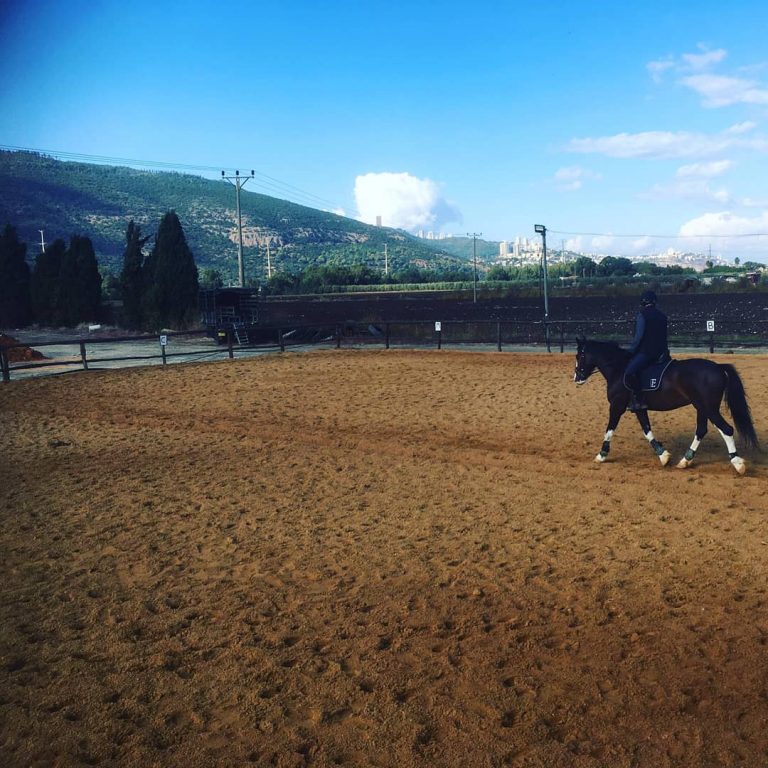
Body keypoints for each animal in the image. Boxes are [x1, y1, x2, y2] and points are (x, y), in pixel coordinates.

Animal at [574, 337, 759, 474]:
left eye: (579, 356)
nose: (576, 378)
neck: (619, 369)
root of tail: (718, 367)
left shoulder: (617, 406)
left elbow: (609, 430)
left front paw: (601, 455)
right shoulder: (639, 408)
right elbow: (647, 430)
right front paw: (663, 456)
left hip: (709, 408)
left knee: (726, 429)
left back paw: (737, 463)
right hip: (701, 408)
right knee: (701, 430)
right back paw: (685, 460)